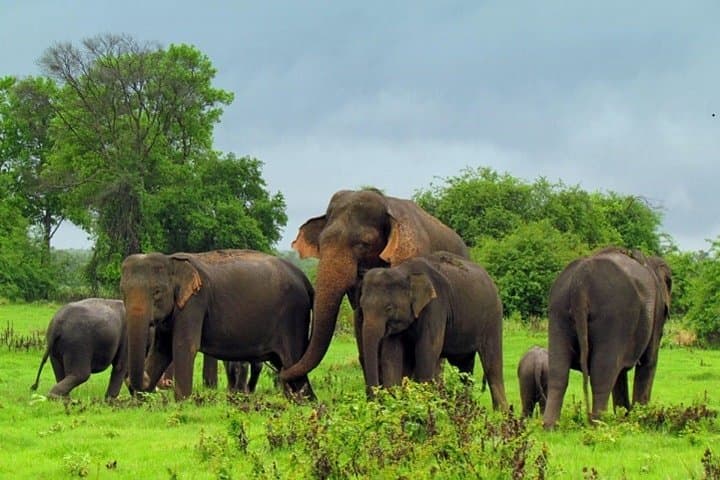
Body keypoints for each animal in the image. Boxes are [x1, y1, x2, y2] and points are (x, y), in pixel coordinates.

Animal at [120, 249, 315, 401]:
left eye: (157, 292)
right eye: (123, 292)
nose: (134, 381)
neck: (172, 261)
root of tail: (304, 278)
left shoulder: (195, 301)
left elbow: (184, 346)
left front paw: (182, 403)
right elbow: (162, 350)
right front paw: (141, 401)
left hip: (293, 318)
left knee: (293, 360)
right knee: (286, 365)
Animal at [358, 251, 508, 409]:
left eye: (389, 308)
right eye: (361, 307)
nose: (374, 403)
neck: (404, 271)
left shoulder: (435, 306)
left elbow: (427, 349)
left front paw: (423, 405)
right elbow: (392, 355)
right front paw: (397, 404)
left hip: (493, 317)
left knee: (492, 364)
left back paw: (501, 412)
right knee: (464, 366)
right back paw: (465, 407)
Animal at [543, 248, 672, 429]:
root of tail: (580, 282)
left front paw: (625, 417)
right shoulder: (657, 312)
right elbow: (648, 362)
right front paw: (639, 419)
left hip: (557, 311)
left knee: (558, 370)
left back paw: (550, 427)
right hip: (612, 315)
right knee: (602, 372)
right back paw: (599, 424)